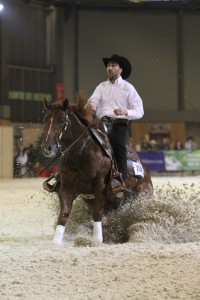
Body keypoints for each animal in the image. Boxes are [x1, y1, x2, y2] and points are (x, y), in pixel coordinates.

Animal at [41, 97, 152, 245]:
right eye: (46, 119)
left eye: (61, 120)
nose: (48, 148)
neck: (81, 153)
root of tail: (146, 172)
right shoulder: (66, 189)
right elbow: (64, 215)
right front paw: (56, 241)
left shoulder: (101, 188)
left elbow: (97, 213)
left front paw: (97, 240)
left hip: (142, 195)